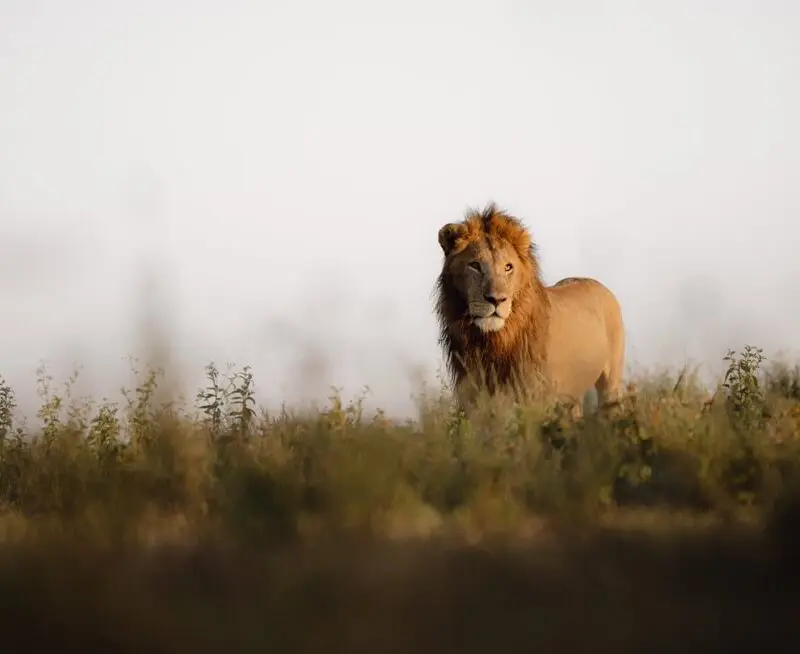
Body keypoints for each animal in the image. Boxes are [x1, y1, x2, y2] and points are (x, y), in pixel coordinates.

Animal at [435, 203, 626, 419]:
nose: (496, 299)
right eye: (475, 265)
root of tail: (598, 284)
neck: (493, 341)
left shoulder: (535, 400)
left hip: (610, 384)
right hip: (572, 396)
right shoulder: (472, 398)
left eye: (508, 267)